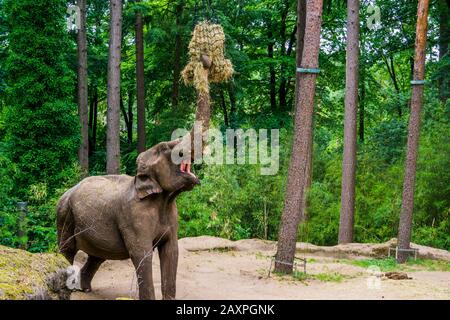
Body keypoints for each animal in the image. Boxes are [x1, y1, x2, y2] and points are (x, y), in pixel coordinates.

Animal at [55, 139, 198, 300]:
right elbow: (141, 254)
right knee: (68, 249)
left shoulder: (172, 215)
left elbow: (171, 251)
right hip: (65, 214)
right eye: (164, 147)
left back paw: (84, 289)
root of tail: (66, 192)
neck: (163, 199)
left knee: (97, 256)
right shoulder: (133, 217)